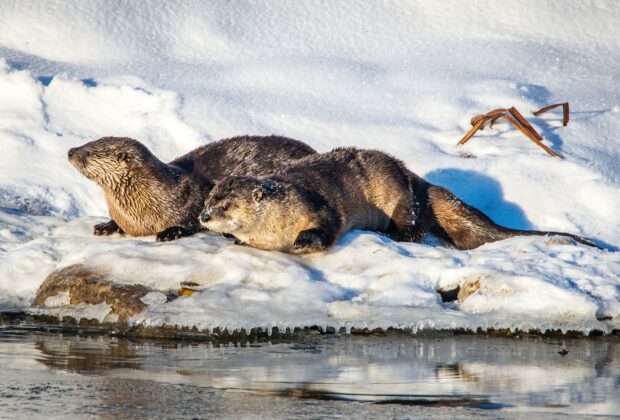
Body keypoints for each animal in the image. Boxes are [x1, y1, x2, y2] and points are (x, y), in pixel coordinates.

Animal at [68, 136, 314, 241]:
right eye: (86, 142)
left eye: (88, 152)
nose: (70, 150)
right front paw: (105, 226)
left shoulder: (193, 196)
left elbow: (193, 220)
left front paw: (170, 232)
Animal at [200, 148, 600, 253]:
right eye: (208, 199)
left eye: (225, 204)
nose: (204, 217)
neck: (275, 229)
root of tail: (416, 179)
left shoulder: (314, 205)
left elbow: (328, 223)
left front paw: (305, 242)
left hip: (400, 199)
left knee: (414, 230)